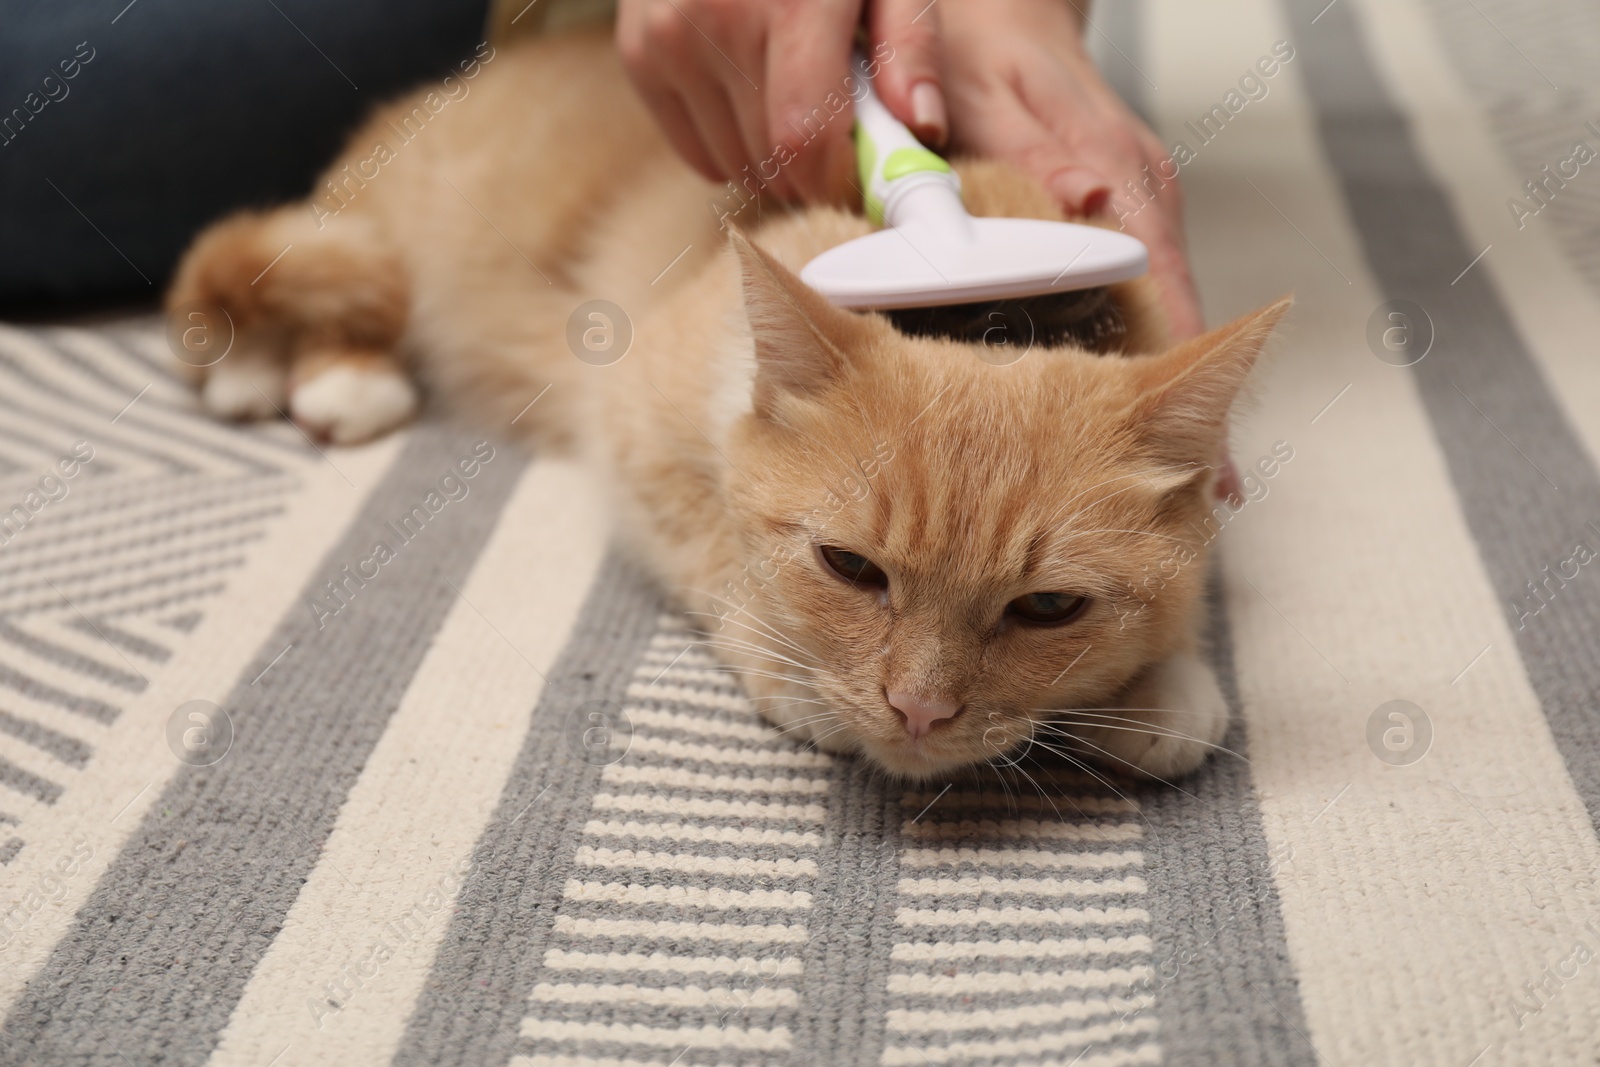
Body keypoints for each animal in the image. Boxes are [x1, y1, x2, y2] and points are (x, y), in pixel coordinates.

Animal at [165, 29, 1286, 780]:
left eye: (1049, 608)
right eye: (849, 567)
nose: (918, 712)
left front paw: (1166, 681)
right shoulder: (630, 430)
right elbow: (719, 553)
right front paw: (794, 668)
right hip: (388, 235)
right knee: (303, 276)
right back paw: (302, 374)